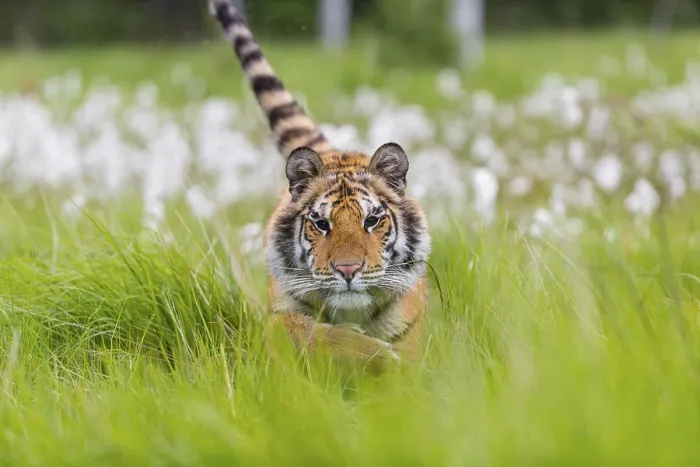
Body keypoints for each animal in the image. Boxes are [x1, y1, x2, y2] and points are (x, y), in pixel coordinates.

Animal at [208, 0, 431, 372]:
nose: (348, 270)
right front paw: (378, 356)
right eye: (321, 224)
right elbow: (314, 333)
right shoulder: (275, 320)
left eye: (372, 221)